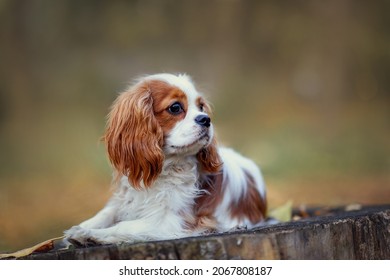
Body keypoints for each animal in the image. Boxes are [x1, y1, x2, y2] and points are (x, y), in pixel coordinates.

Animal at [64, 72, 266, 245]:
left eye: (201, 107)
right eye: (175, 108)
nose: (206, 119)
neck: (166, 166)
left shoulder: (169, 222)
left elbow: (123, 226)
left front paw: (89, 234)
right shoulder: (129, 201)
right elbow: (107, 213)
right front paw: (81, 229)